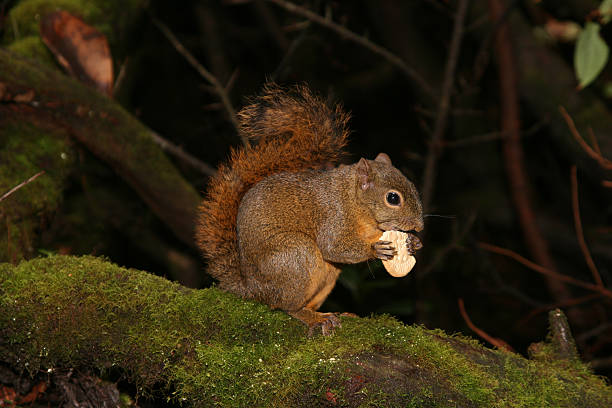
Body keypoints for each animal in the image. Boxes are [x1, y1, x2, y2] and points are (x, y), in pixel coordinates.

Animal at [198, 83, 424, 334]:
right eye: (393, 198)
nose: (419, 225)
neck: (353, 200)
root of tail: (252, 289)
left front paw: (414, 243)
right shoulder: (333, 216)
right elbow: (333, 246)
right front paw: (375, 249)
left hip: (327, 275)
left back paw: (333, 313)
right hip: (295, 256)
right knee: (287, 305)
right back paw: (312, 317)